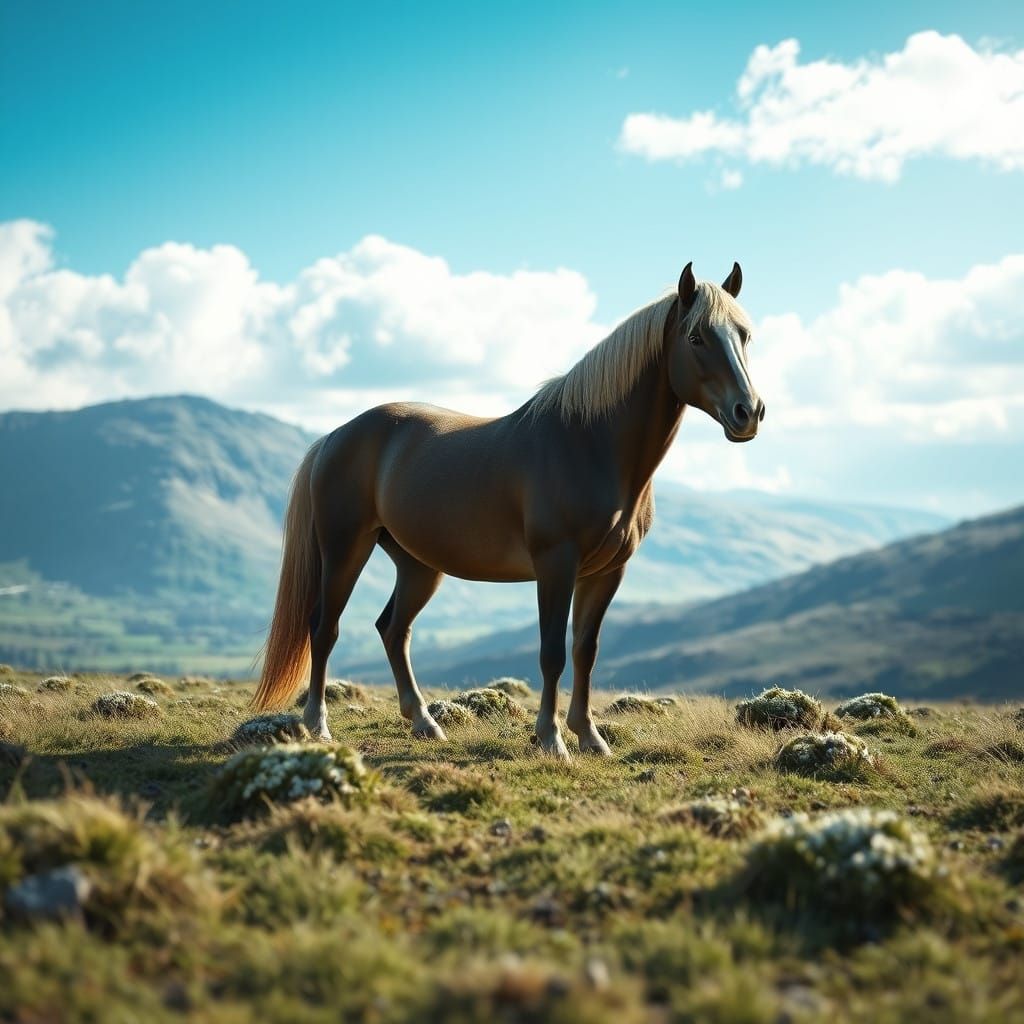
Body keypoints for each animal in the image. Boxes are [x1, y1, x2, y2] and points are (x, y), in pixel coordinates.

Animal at [252, 261, 764, 760]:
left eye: (744, 335)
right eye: (696, 338)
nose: (749, 412)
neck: (590, 444)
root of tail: (334, 436)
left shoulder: (607, 571)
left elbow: (586, 650)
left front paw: (590, 737)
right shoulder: (556, 564)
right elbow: (552, 652)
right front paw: (552, 740)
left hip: (418, 565)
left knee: (393, 629)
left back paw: (425, 723)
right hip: (345, 549)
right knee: (325, 628)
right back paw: (318, 726)